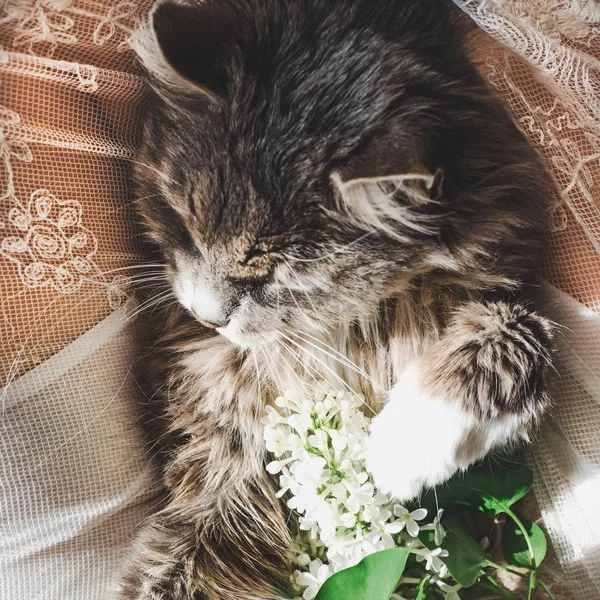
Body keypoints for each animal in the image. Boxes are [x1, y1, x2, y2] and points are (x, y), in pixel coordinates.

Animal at [119, 2, 556, 596]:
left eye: (277, 273)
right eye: (181, 223)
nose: (206, 317)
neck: (355, 323)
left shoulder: (511, 285)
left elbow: (512, 338)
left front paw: (399, 448)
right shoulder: (223, 432)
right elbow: (194, 548)